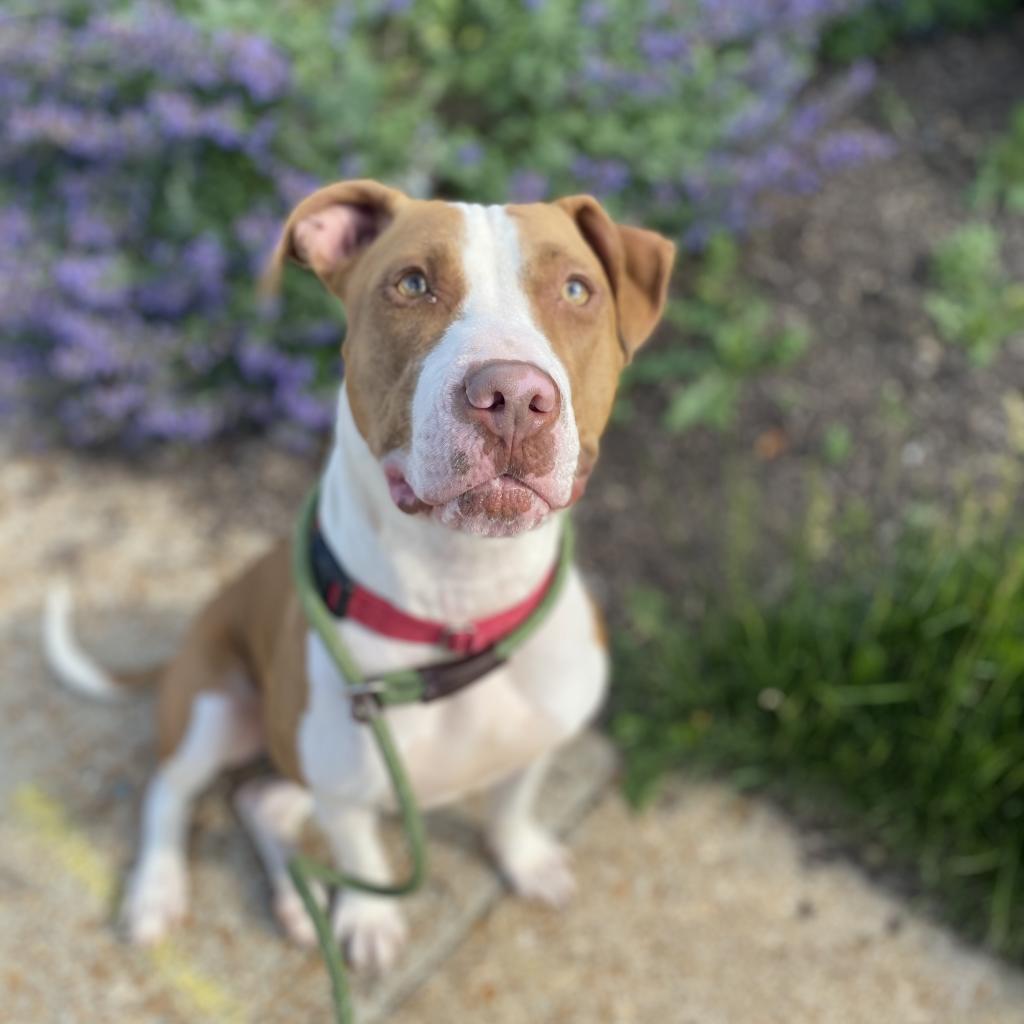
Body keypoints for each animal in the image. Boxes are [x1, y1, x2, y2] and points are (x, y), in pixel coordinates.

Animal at [44, 178, 675, 974]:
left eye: (576, 289)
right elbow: (363, 856)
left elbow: (510, 807)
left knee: (260, 802)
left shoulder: (537, 739)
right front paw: (370, 920)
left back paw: (295, 900)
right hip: (215, 708)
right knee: (170, 791)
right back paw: (157, 892)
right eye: (411, 284)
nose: (512, 398)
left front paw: (525, 859)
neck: (460, 603)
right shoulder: (344, 789)